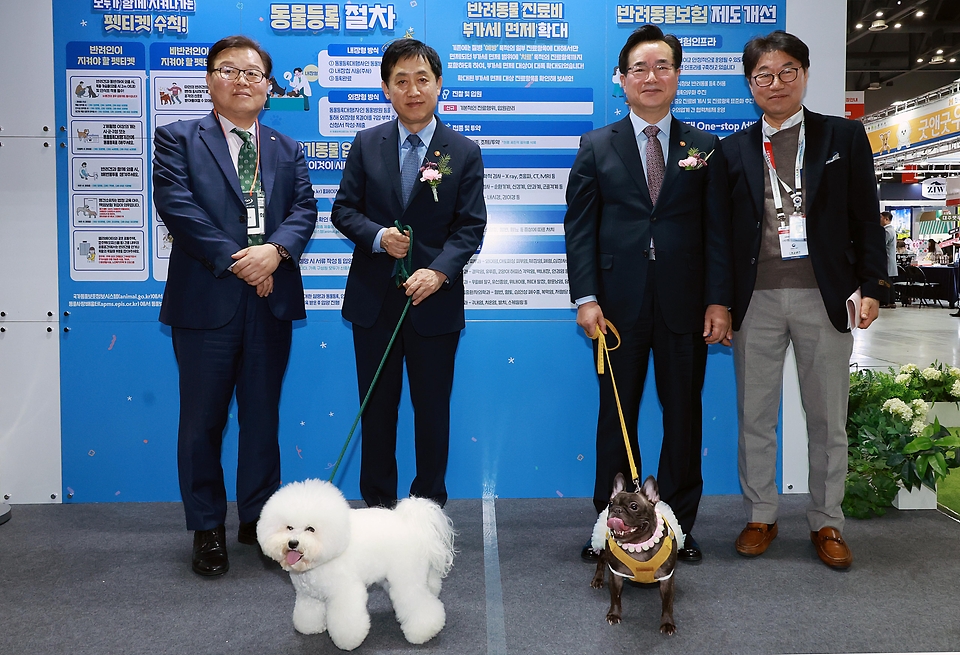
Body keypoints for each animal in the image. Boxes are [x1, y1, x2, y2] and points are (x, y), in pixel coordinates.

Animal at [256, 480, 456, 652]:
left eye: (310, 529)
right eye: (289, 527)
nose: (293, 543)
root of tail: (412, 524)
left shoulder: (345, 592)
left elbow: (346, 621)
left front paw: (347, 642)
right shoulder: (309, 595)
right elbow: (308, 612)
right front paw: (310, 628)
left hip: (406, 578)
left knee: (420, 603)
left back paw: (424, 631)